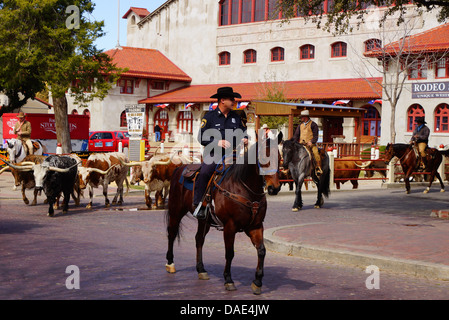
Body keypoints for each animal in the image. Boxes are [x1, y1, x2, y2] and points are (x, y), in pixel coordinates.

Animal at [164, 140, 280, 296]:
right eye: (263, 158)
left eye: (279, 157)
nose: (275, 188)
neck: (243, 187)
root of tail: (180, 168)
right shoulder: (230, 227)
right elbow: (230, 253)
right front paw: (228, 280)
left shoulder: (255, 226)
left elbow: (261, 251)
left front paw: (257, 282)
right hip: (176, 211)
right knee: (172, 233)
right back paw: (170, 263)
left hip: (204, 220)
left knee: (199, 239)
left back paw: (201, 269)